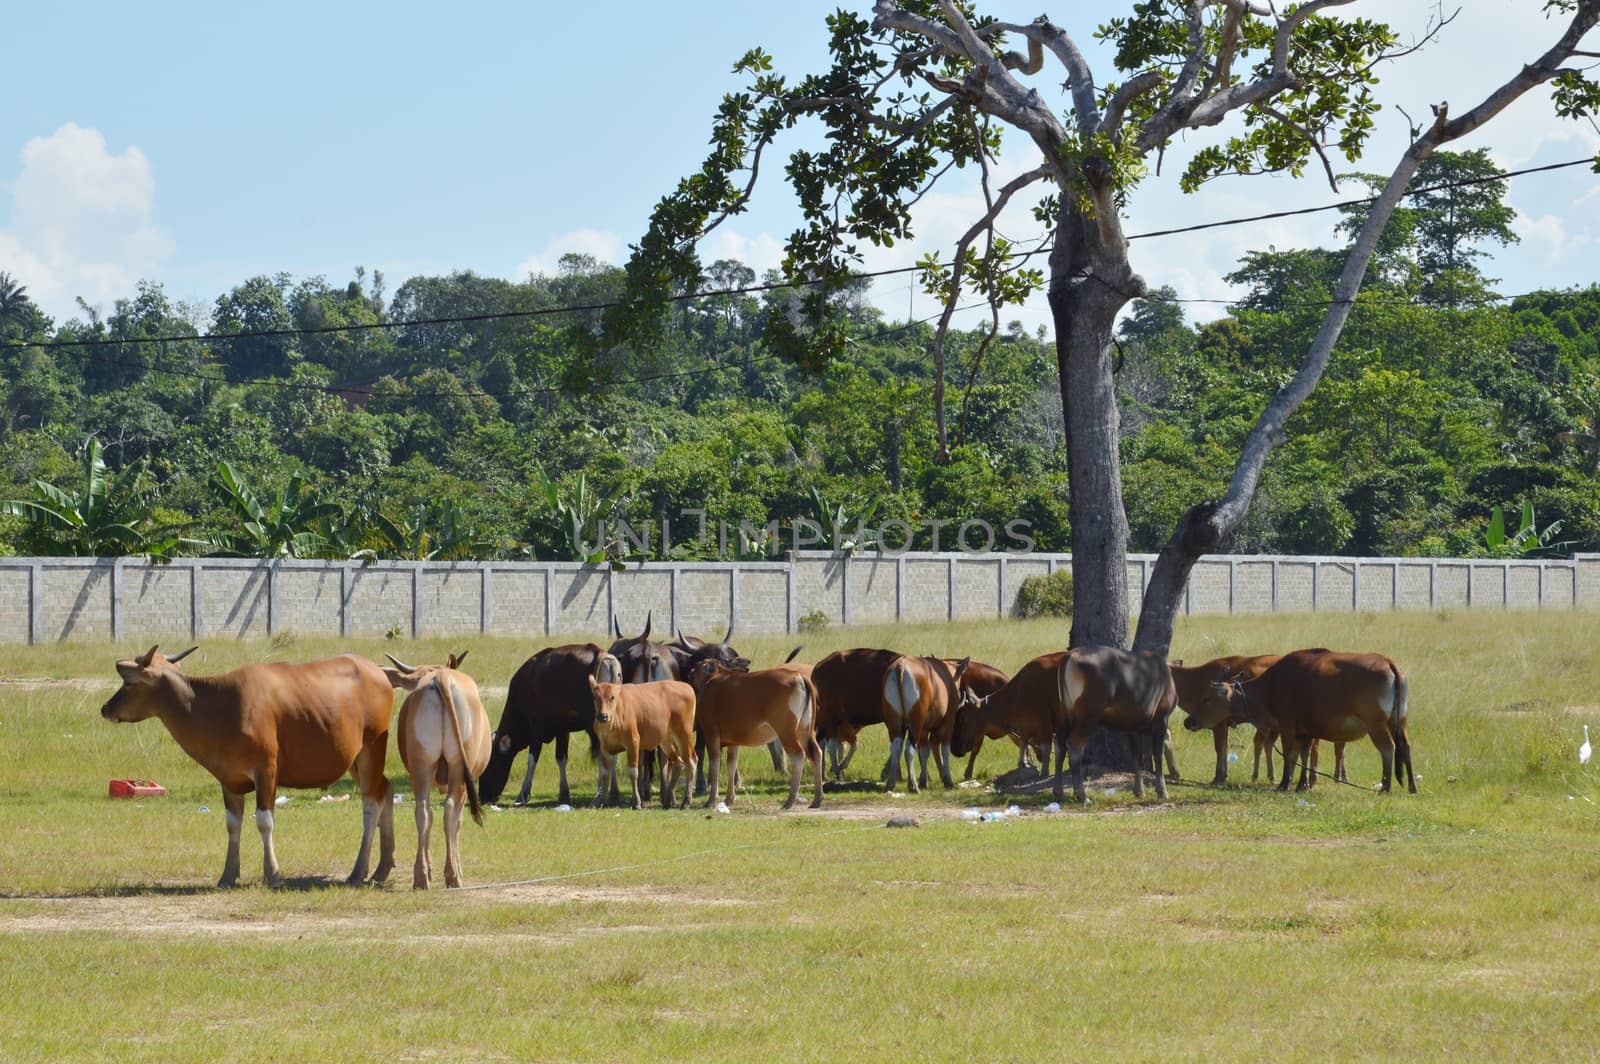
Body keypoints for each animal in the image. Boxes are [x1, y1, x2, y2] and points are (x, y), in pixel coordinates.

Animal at [100, 646, 396, 889]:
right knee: (386, 789)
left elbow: (264, 821)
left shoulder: (267, 772)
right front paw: (228, 875)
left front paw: (272, 874)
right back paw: (381, 869)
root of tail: (378, 672)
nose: (105, 708)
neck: (219, 707)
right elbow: (233, 824)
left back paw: (358, 872)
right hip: (354, 760)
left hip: (371, 749)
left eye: (129, 682)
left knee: (371, 804)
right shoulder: (228, 779)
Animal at [384, 646, 489, 889]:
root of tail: (441, 677)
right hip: (459, 766)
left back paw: (421, 876)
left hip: (422, 765)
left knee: (423, 811)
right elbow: (458, 822)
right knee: (450, 811)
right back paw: (453, 875)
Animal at [582, 659, 694, 809]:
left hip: (684, 734)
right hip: (665, 740)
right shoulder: (604, 747)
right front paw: (598, 800)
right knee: (679, 763)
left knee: (691, 763)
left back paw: (686, 801)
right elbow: (605, 774)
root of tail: (687, 687)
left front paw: (636, 801)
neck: (614, 721)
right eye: (595, 697)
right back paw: (668, 800)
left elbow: (634, 772)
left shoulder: (633, 742)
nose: (602, 716)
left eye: (612, 697)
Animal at [691, 659, 825, 809]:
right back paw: (817, 799)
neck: (712, 680)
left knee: (798, 755)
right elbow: (732, 765)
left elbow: (715, 765)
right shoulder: (734, 742)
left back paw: (790, 800)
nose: (691, 672)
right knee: (816, 753)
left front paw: (711, 800)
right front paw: (729, 799)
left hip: (786, 731)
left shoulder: (711, 733)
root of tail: (799, 676)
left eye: (697, 667)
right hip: (805, 730)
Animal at [1190, 646, 1414, 787]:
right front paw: (1302, 784)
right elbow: (1304, 755)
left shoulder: (1288, 727)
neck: (1270, 686)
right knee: (1405, 746)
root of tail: (1388, 663)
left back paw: (1386, 786)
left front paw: (1284, 783)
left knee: (1388, 748)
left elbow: (1290, 754)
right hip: (1399, 721)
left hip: (1376, 724)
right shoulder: (1305, 731)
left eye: (1206, 698)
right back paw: (1411, 786)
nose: (1188, 721)